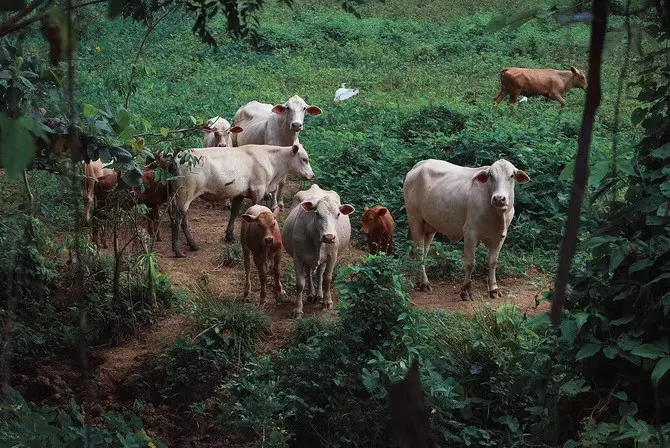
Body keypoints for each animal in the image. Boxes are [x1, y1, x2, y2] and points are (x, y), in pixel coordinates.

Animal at [168, 145, 316, 258]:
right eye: (304, 159)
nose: (313, 175)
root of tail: (177, 157)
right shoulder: (258, 190)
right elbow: (254, 212)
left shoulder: (239, 192)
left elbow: (234, 212)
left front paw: (230, 235)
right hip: (185, 194)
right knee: (177, 219)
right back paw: (178, 250)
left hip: (180, 197)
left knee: (182, 219)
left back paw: (193, 244)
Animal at [282, 187, 356, 316]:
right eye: (317, 213)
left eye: (338, 214)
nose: (329, 237)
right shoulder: (298, 258)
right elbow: (300, 283)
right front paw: (298, 309)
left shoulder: (332, 257)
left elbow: (327, 278)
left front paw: (327, 301)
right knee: (309, 273)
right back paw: (311, 294)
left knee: (320, 272)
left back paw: (319, 295)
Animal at [404, 158, 532, 300]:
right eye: (490, 176)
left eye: (511, 176)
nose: (499, 198)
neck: (497, 214)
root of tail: (419, 165)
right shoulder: (470, 233)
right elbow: (470, 263)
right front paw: (466, 290)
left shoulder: (499, 237)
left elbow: (493, 262)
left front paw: (494, 289)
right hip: (415, 219)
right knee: (420, 252)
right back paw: (424, 283)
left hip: (429, 226)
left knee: (424, 252)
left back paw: (420, 281)